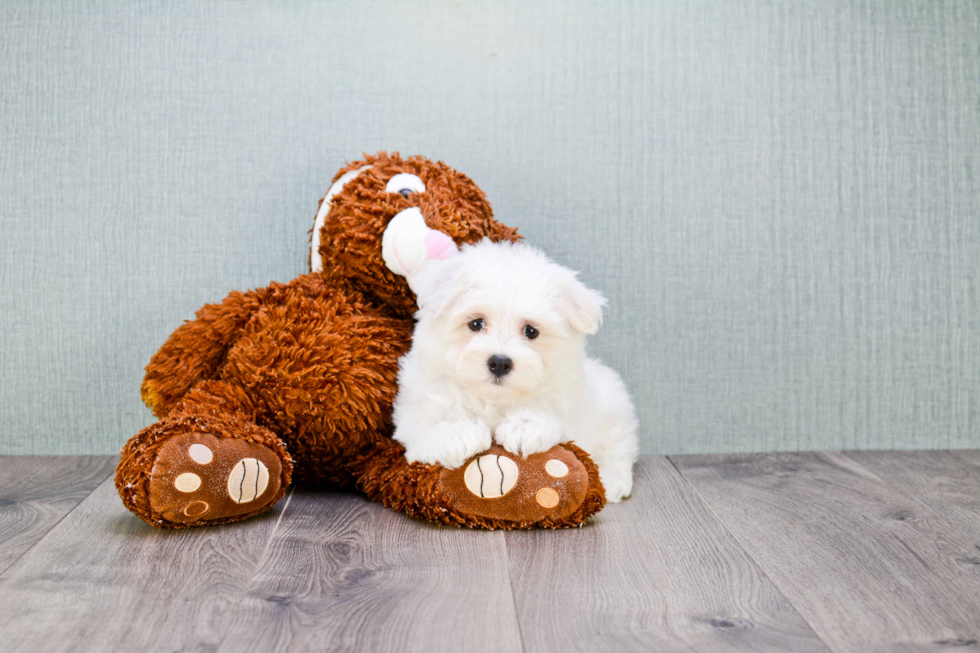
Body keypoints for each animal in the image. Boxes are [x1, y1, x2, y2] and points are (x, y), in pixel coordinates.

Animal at [378, 211, 640, 502]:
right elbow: (424, 431)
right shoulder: (416, 414)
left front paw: (525, 426)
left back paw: (613, 481)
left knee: (620, 448)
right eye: (476, 324)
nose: (500, 362)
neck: (494, 400)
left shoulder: (574, 414)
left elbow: (559, 424)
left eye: (531, 331)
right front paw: (458, 433)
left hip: (614, 406)